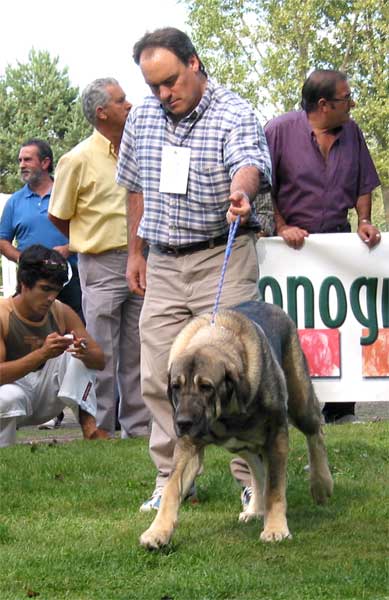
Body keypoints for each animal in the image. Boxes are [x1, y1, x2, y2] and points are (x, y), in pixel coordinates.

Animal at [141, 300, 332, 548]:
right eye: (175, 386)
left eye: (206, 386)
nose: (182, 422)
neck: (225, 414)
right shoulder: (188, 446)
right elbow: (172, 488)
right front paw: (158, 531)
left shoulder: (277, 435)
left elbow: (275, 487)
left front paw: (275, 529)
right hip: (240, 444)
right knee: (256, 467)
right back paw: (255, 509)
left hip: (299, 403)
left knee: (315, 430)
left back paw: (321, 484)